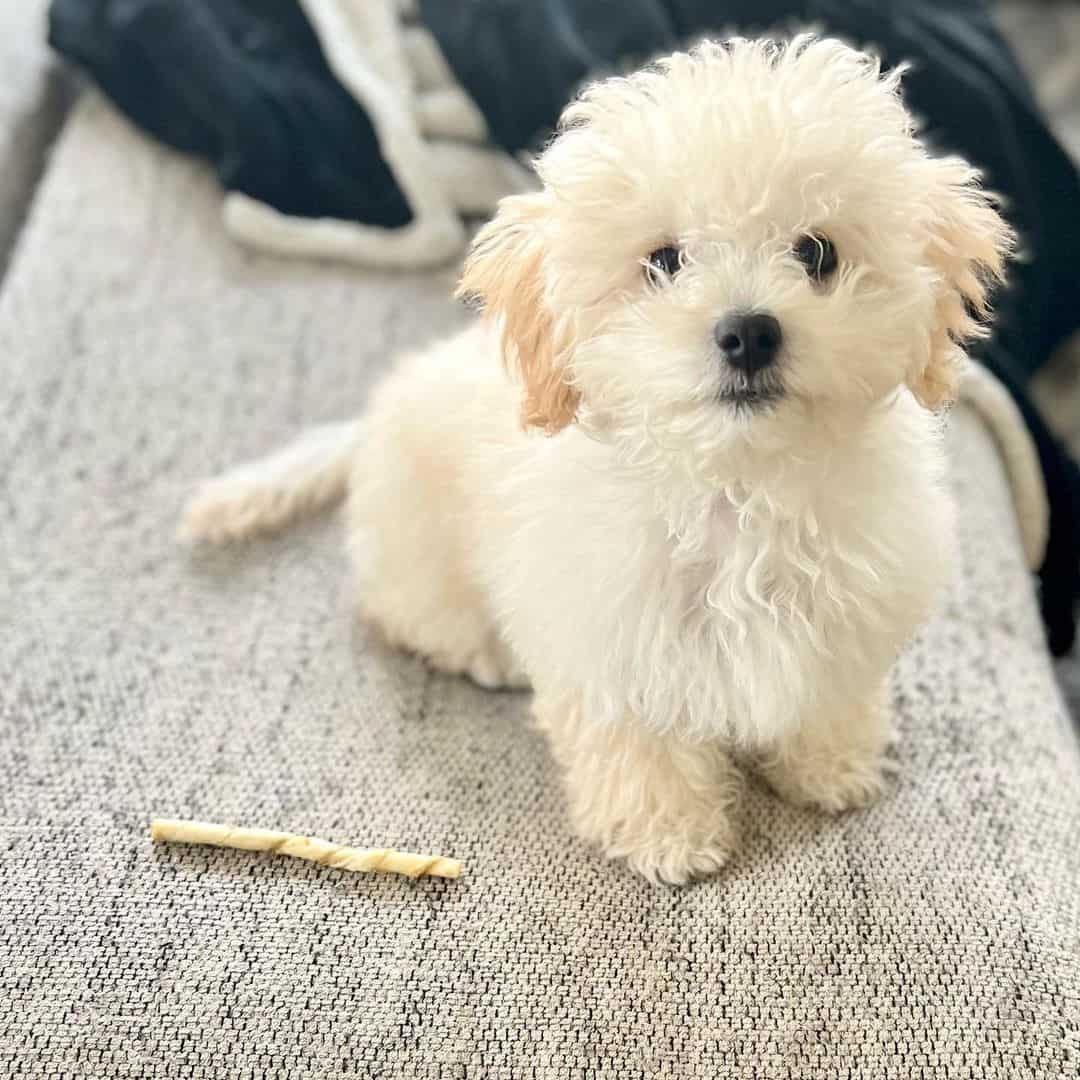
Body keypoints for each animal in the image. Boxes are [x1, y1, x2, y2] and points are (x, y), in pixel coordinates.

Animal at [183, 38, 1010, 885]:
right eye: (664, 261)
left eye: (817, 253)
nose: (748, 331)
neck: (736, 490)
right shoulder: (611, 639)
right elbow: (640, 743)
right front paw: (669, 835)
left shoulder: (844, 614)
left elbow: (827, 692)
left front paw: (831, 767)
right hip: (417, 554)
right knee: (409, 612)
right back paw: (483, 650)